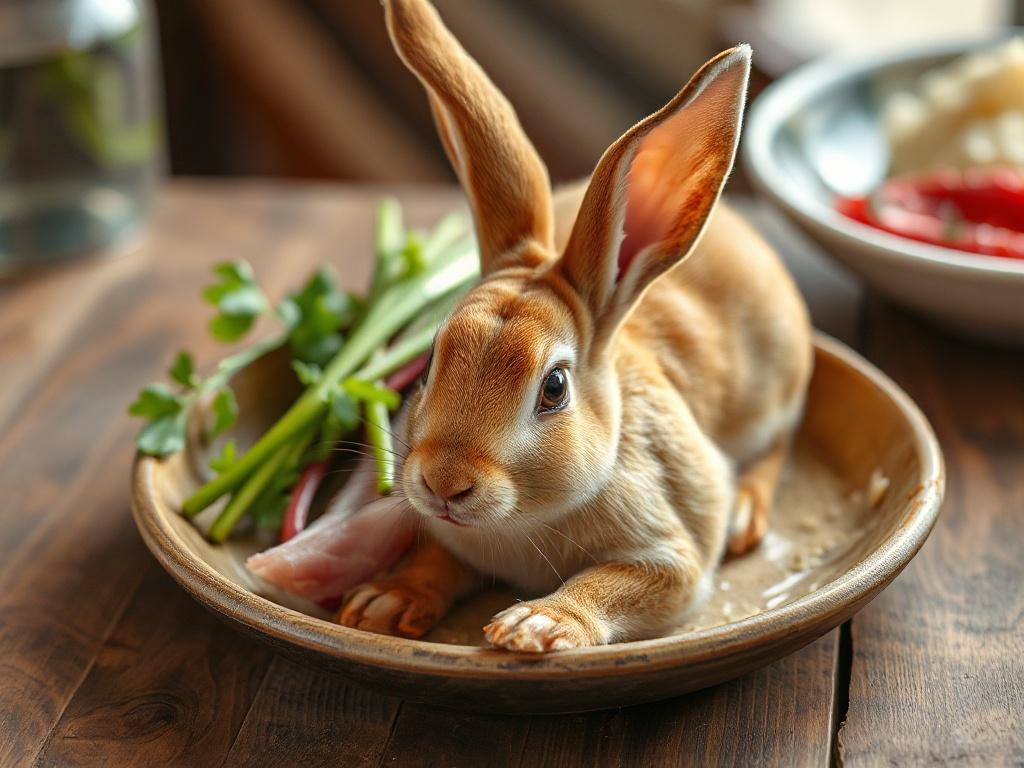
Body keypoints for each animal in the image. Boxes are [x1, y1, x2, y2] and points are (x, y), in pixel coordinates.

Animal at [338, 0, 813, 652]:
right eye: (432, 360)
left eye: (555, 387)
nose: (444, 483)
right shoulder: (451, 540)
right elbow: (436, 562)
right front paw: (383, 604)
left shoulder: (673, 555)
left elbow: (619, 580)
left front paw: (537, 625)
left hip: (774, 393)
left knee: (779, 442)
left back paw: (744, 510)